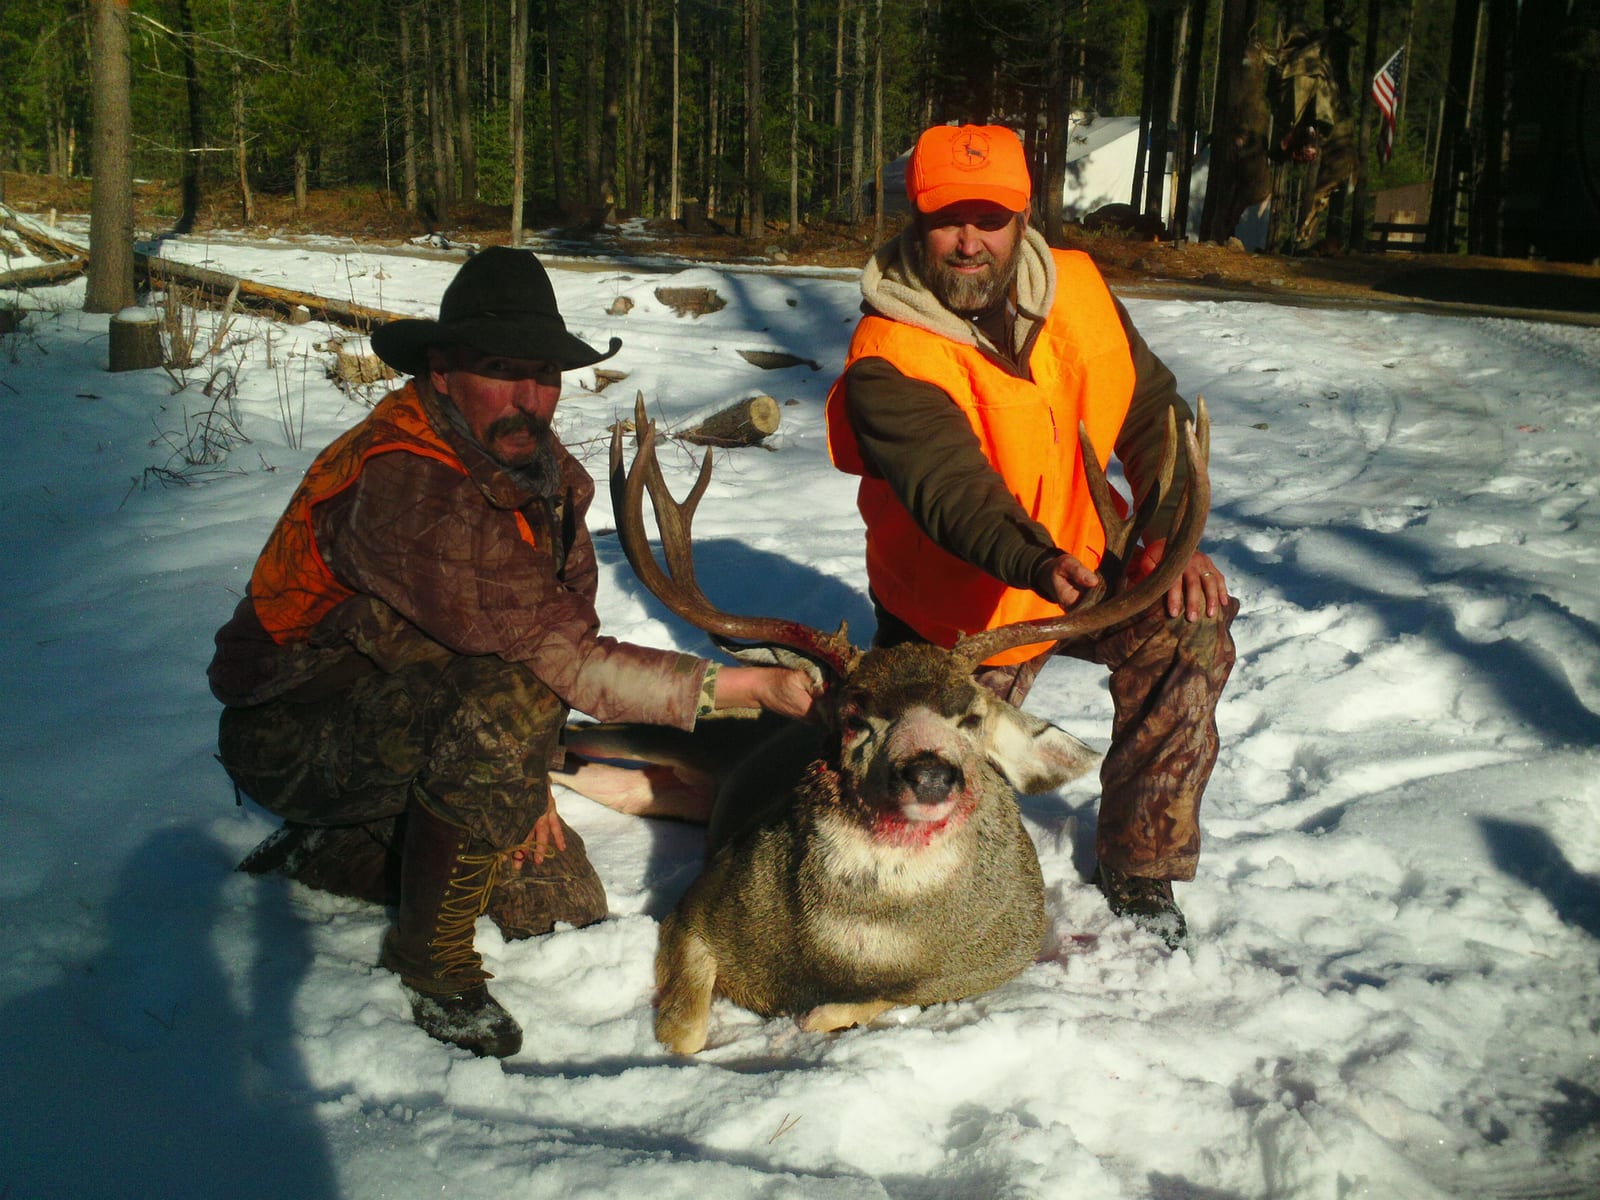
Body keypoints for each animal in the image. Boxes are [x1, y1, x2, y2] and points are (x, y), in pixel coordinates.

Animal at [605, 395, 1210, 1055]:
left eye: (971, 717)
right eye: (853, 718)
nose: (929, 773)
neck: (859, 951)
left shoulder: (993, 963)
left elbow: (857, 1007)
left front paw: (821, 1015)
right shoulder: (693, 908)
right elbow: (684, 1032)